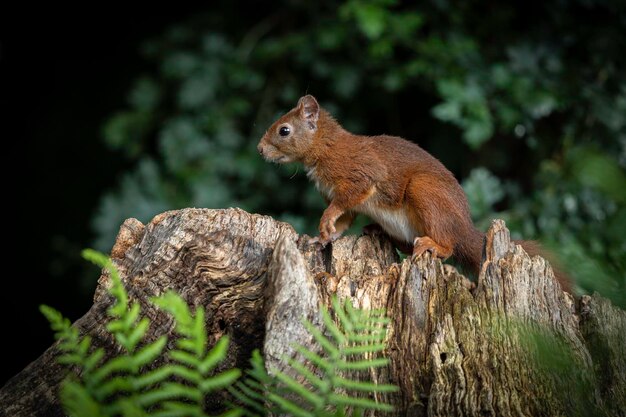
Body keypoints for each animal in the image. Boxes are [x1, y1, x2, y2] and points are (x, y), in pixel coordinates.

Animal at [255, 94, 572, 292]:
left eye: (284, 130)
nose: (259, 149)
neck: (325, 148)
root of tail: (466, 229)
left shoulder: (360, 175)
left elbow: (344, 202)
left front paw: (324, 222)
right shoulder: (345, 199)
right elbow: (344, 220)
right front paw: (321, 237)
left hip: (425, 193)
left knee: (450, 247)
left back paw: (433, 245)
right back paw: (377, 231)